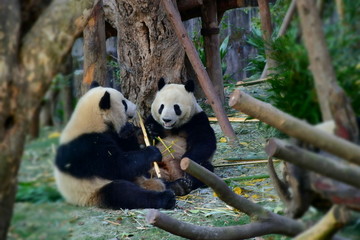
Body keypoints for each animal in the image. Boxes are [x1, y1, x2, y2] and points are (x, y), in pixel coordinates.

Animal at [53, 82, 176, 210]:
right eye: (124, 103)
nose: (135, 107)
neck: (91, 120)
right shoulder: (87, 148)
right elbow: (119, 165)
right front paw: (152, 152)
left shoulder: (110, 134)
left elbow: (128, 147)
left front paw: (145, 131)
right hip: (93, 192)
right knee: (123, 192)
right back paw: (166, 198)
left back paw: (177, 185)